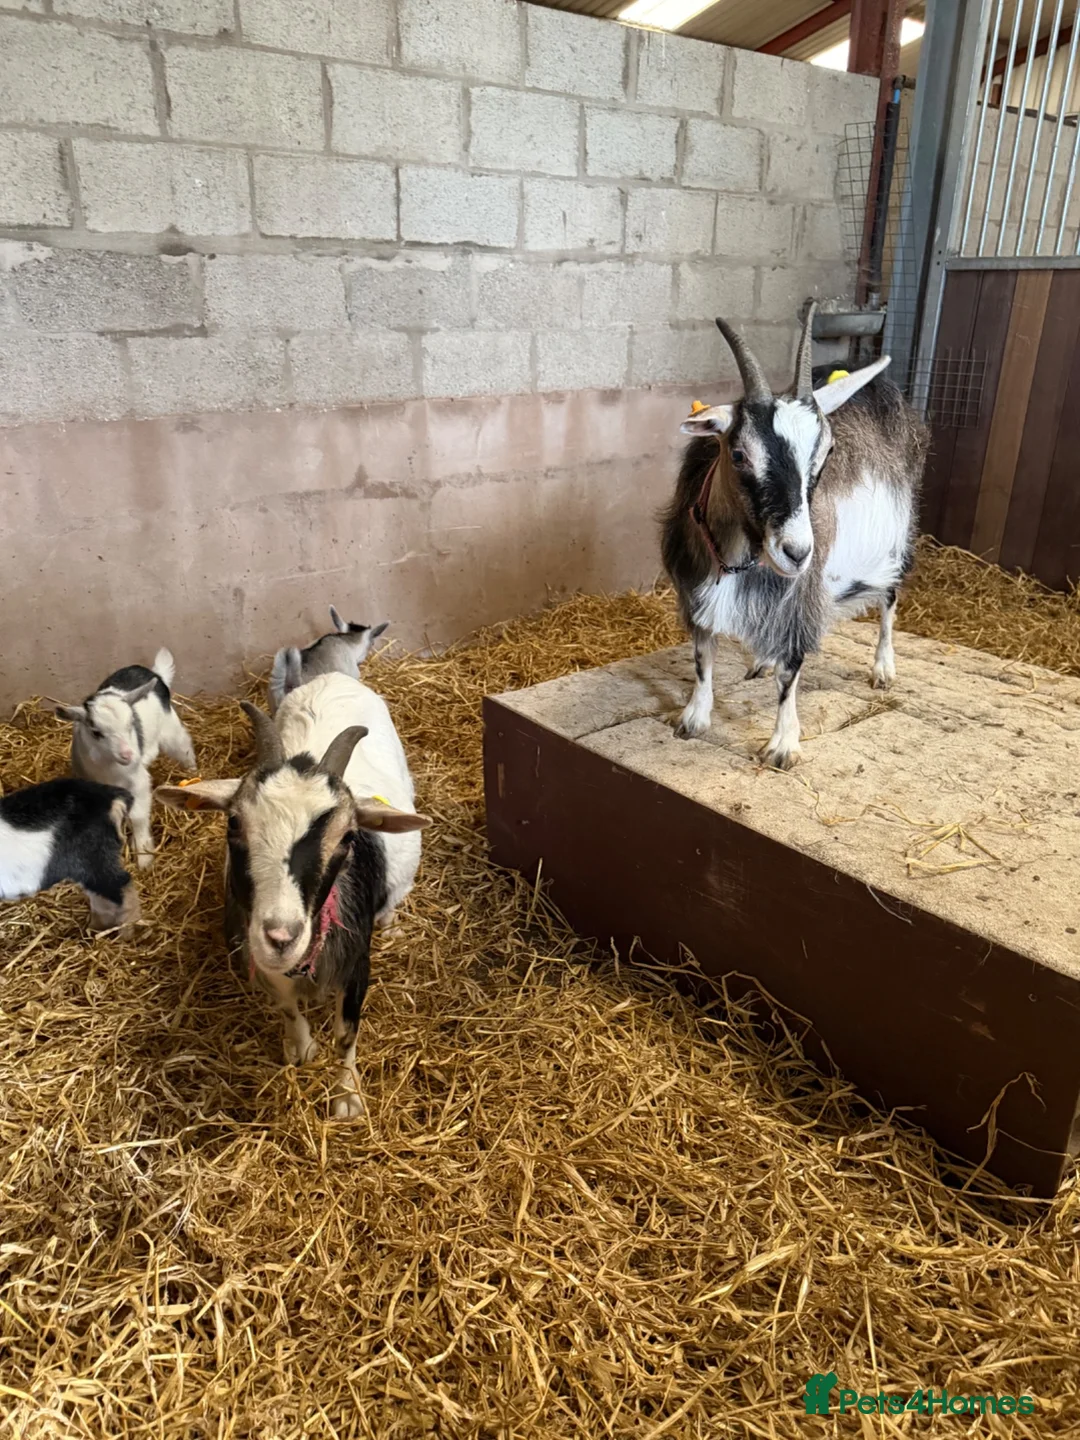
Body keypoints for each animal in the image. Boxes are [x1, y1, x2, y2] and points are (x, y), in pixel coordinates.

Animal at [1, 778, 141, 937]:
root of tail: (111, 800)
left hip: (93, 860)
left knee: (122, 887)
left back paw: (126, 935)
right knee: (101, 898)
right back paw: (94, 930)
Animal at [55, 649, 197, 868]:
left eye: (131, 723)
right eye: (96, 732)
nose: (128, 755)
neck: (108, 769)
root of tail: (153, 673)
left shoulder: (138, 780)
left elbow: (137, 816)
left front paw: (144, 857)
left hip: (170, 730)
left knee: (183, 747)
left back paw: (193, 772)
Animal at [157, 639, 429, 1118]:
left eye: (348, 837)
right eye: (233, 823)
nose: (281, 936)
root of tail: (331, 677)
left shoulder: (356, 963)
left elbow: (346, 1033)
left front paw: (347, 1097)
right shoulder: (262, 959)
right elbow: (286, 1006)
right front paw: (300, 1047)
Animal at [661, 303, 927, 770]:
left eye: (826, 455)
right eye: (738, 454)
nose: (797, 551)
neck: (738, 555)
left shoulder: (799, 597)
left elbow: (792, 669)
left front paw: (783, 745)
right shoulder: (695, 589)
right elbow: (702, 655)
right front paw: (693, 719)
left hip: (898, 540)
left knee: (890, 601)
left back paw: (883, 668)